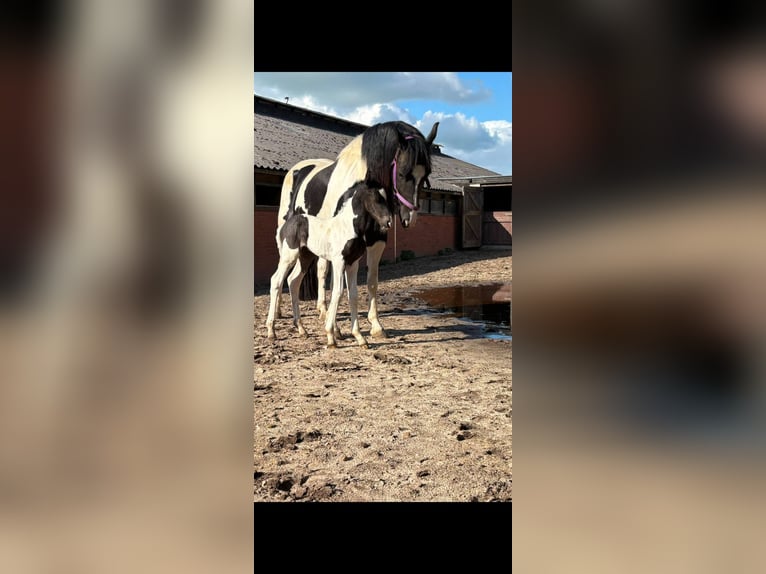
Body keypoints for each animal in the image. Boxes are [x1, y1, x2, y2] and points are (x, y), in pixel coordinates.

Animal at [267, 182, 393, 348]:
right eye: (376, 199)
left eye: (386, 198)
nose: (388, 222)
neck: (349, 227)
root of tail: (284, 226)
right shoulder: (339, 261)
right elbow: (338, 292)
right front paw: (331, 336)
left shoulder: (353, 263)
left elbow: (353, 294)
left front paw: (359, 337)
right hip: (289, 256)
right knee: (276, 280)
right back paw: (271, 331)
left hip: (305, 257)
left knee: (293, 281)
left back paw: (301, 329)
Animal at [275, 120, 439, 339]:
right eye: (402, 173)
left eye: (426, 175)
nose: (409, 219)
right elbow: (339, 287)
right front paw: (336, 329)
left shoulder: (375, 241)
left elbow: (371, 282)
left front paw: (376, 325)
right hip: (287, 240)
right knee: (283, 273)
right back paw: (278, 311)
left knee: (319, 271)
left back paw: (321, 309)